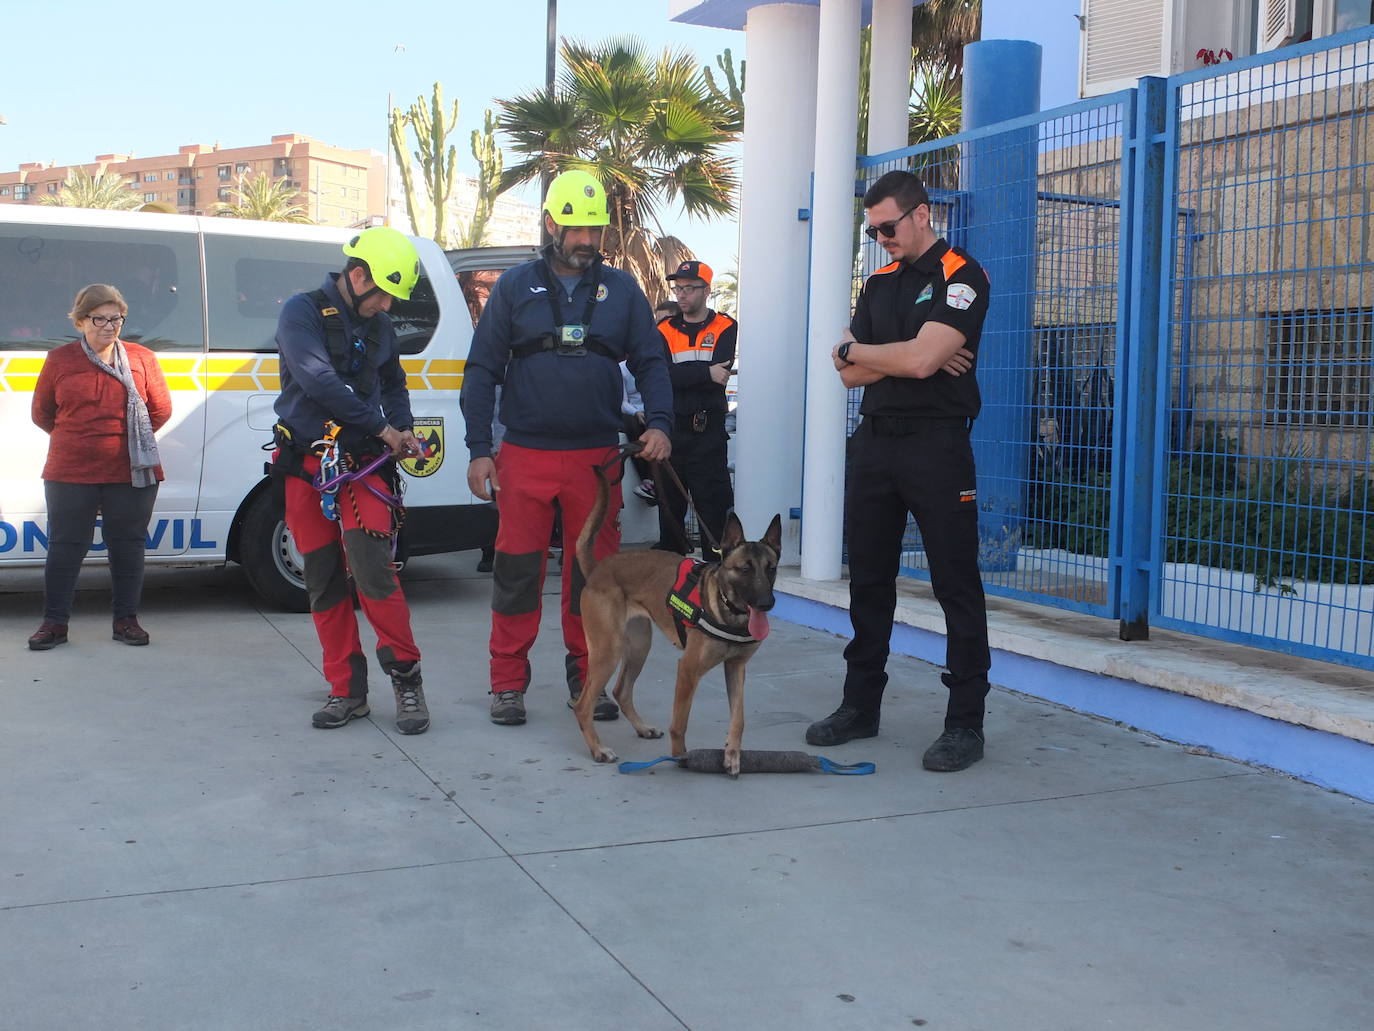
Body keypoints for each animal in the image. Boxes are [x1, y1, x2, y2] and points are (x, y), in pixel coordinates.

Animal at [571, 467, 785, 775]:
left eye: (771, 569)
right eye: (744, 569)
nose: (767, 603)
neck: (726, 609)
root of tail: (598, 568)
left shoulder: (736, 668)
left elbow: (739, 718)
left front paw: (732, 755)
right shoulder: (687, 670)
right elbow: (680, 723)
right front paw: (680, 757)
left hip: (638, 647)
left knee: (621, 691)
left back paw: (642, 728)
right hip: (608, 651)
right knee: (583, 705)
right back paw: (598, 749)